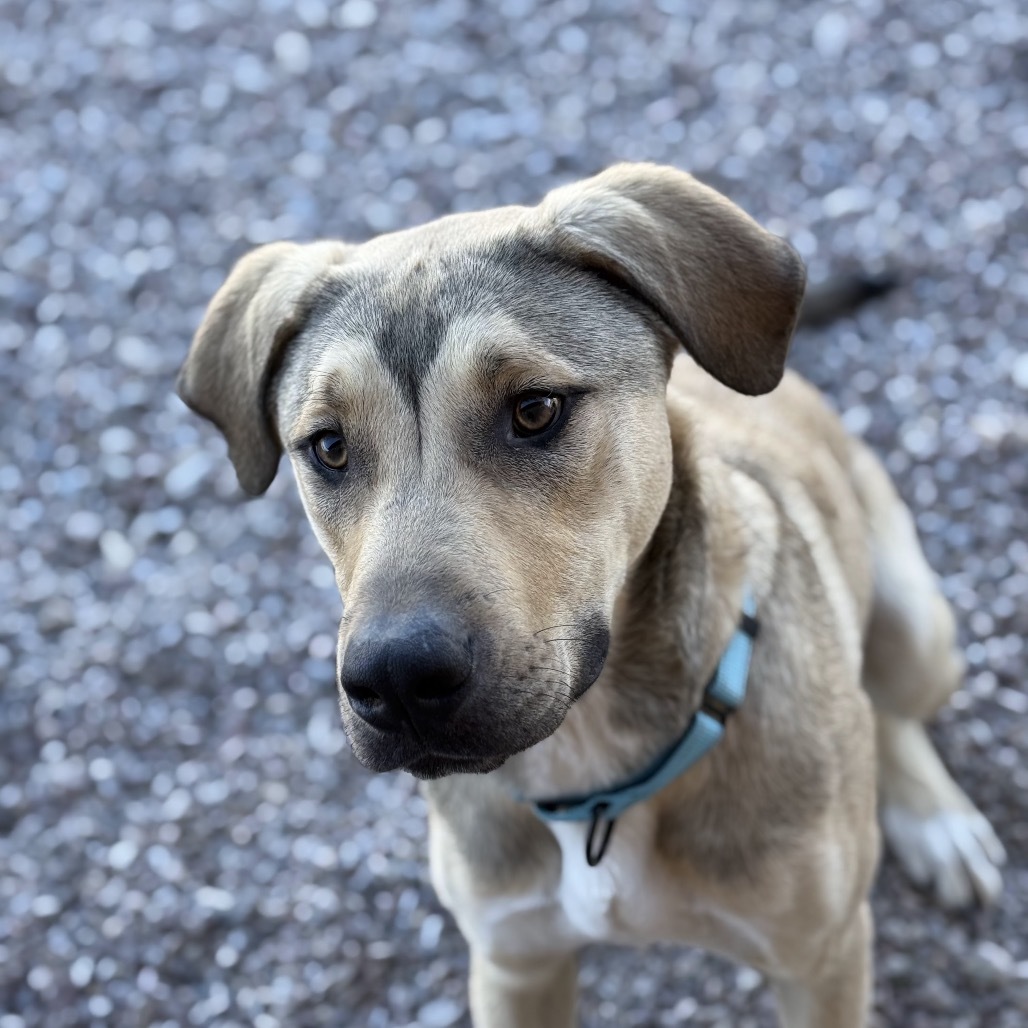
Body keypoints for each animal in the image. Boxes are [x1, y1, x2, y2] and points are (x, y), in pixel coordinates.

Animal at [176, 164, 1003, 1023]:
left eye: (535, 409)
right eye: (329, 447)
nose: (397, 680)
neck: (590, 771)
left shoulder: (823, 962)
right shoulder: (514, 964)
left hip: (921, 628)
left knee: (891, 703)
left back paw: (935, 818)